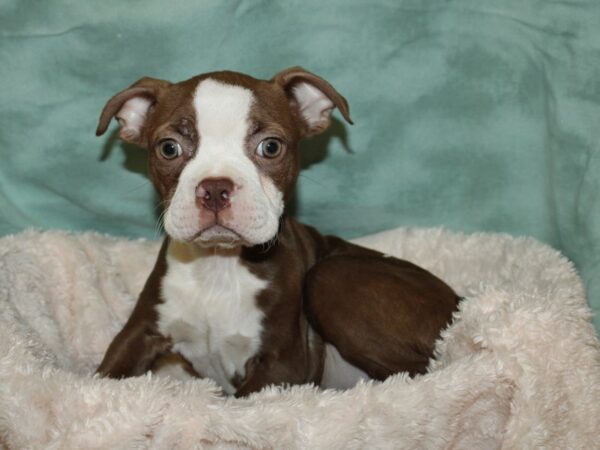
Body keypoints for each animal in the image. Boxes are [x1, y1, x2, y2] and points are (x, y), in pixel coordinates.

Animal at [95, 67, 460, 398]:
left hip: (330, 276)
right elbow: (103, 378)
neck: (220, 264)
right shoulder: (138, 334)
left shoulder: (284, 365)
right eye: (169, 148)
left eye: (270, 147)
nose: (214, 188)